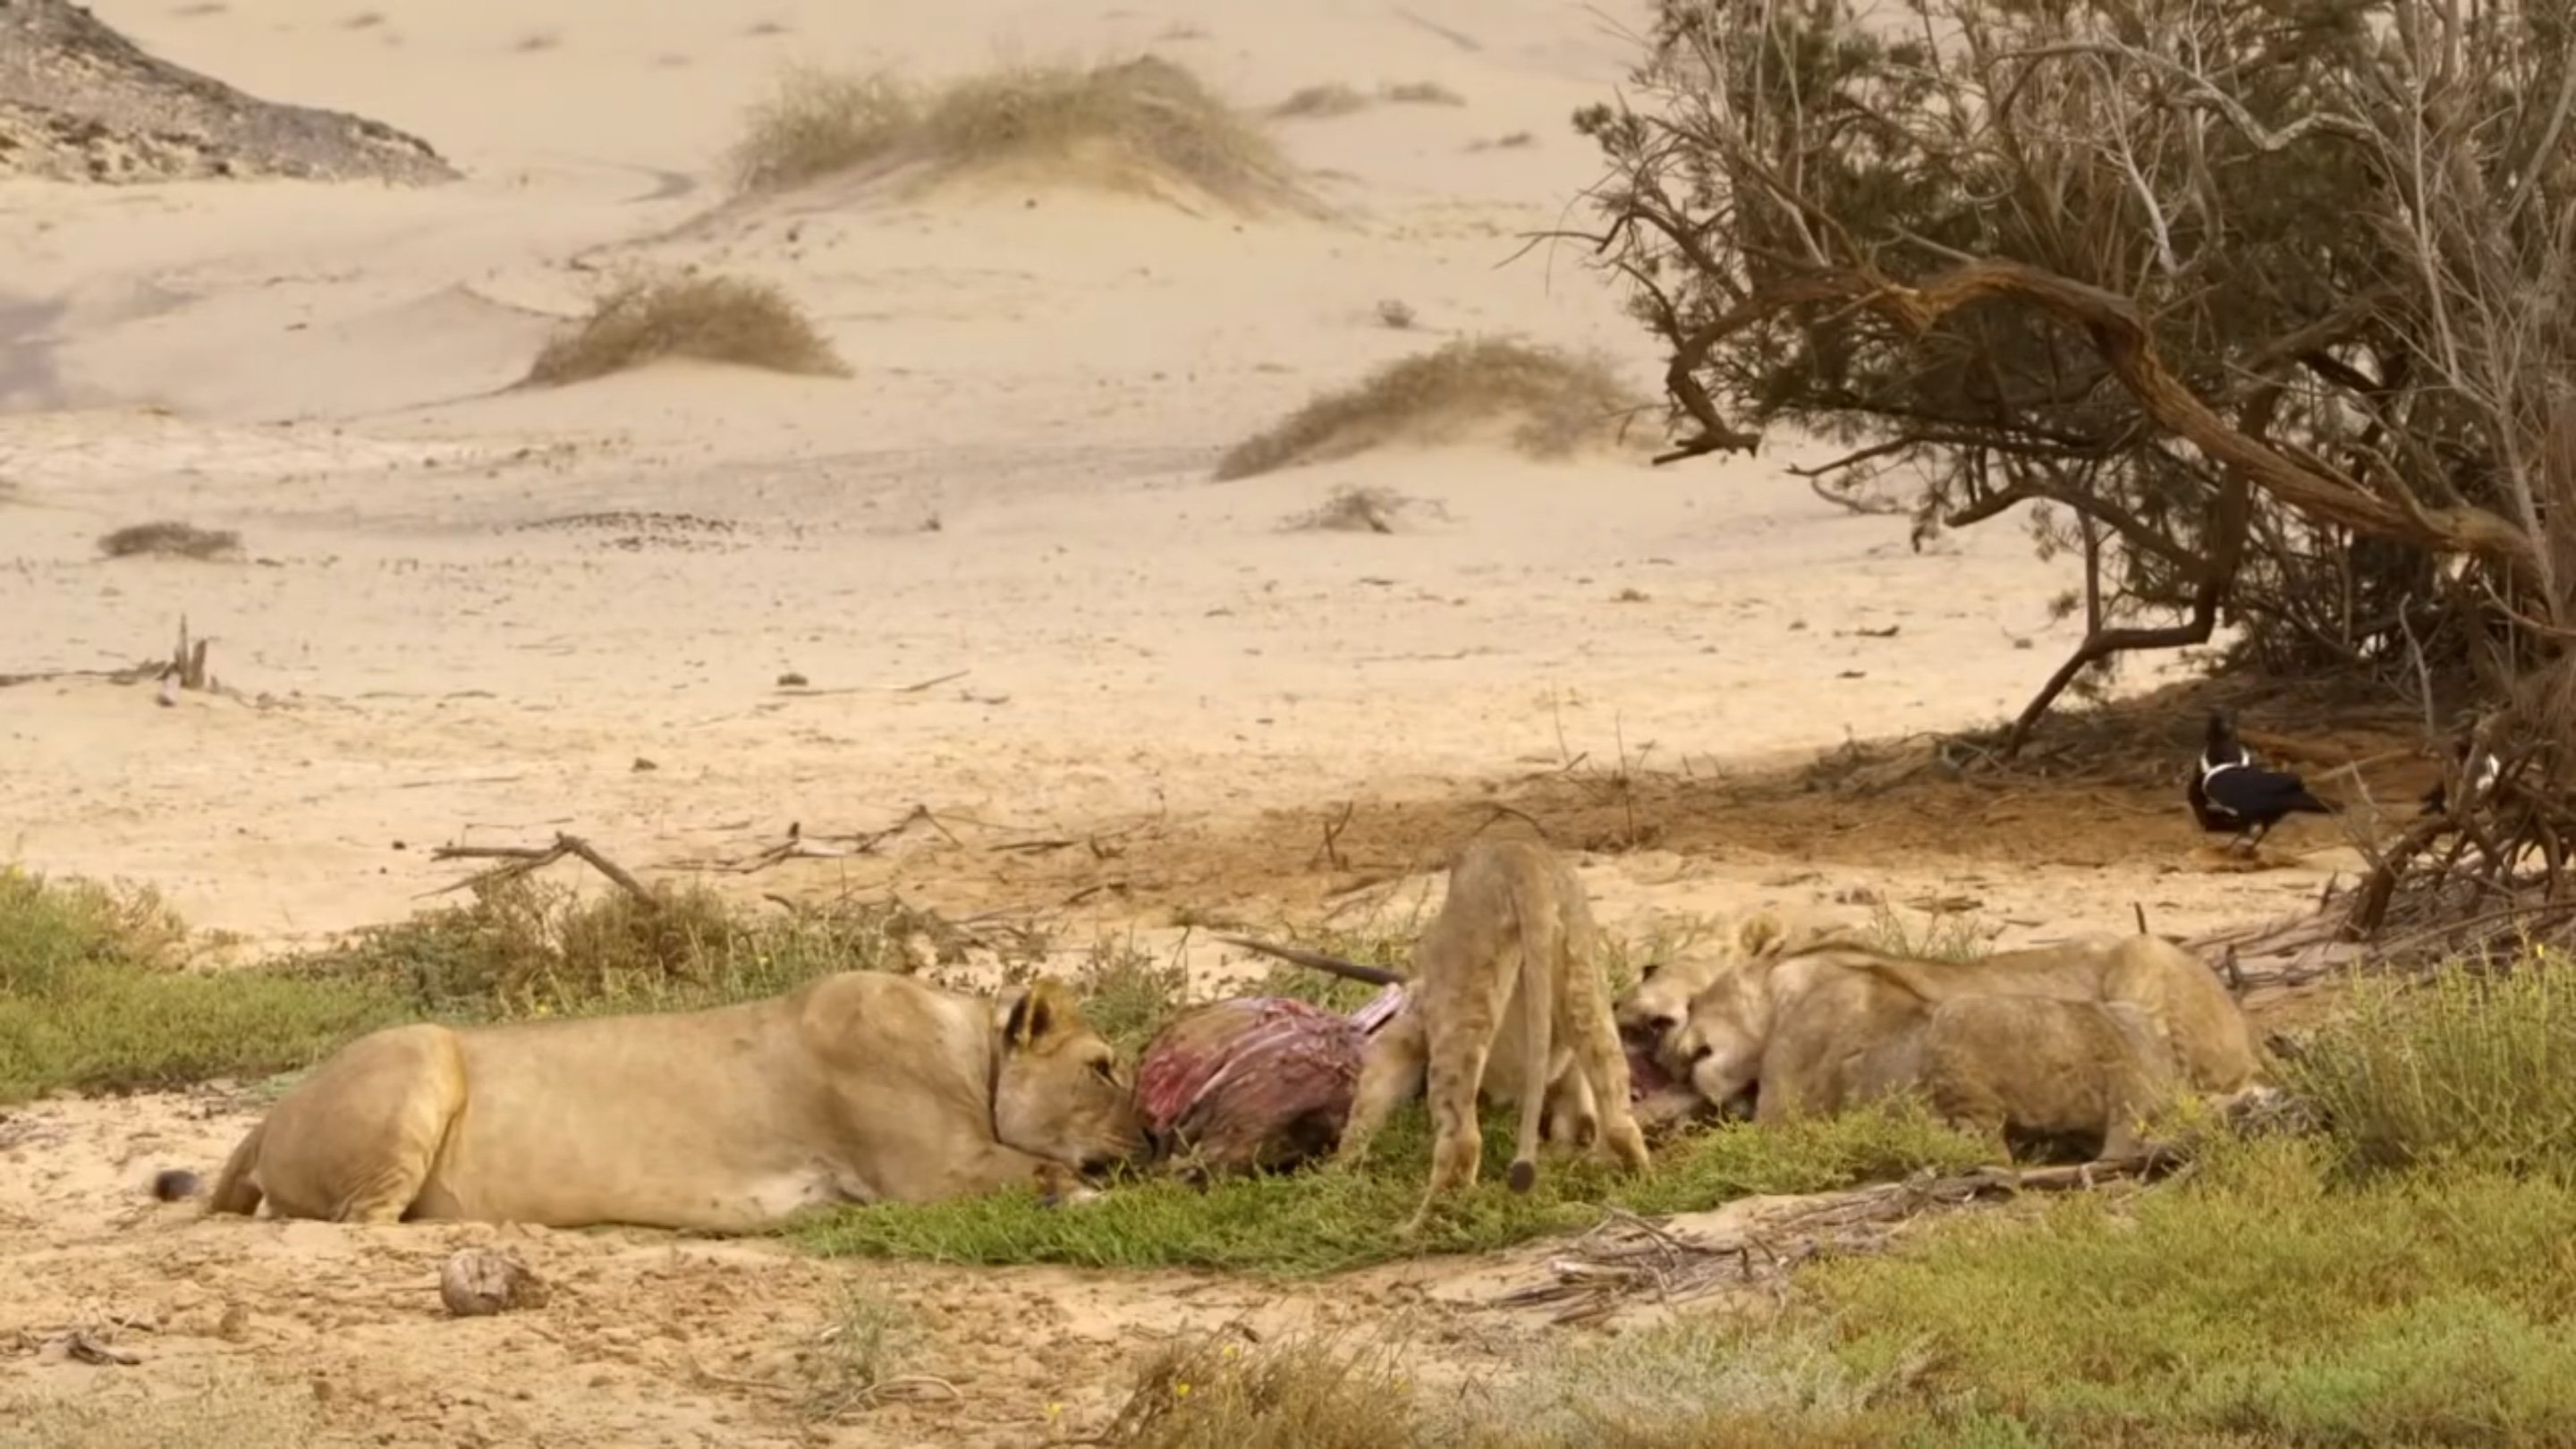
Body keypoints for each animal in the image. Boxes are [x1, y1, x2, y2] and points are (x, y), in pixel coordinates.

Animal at [170, 971, 1150, 1232]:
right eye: (1104, 1067)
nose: (1152, 1135)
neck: (966, 1049)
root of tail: (266, 1114)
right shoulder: (934, 1173)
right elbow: (1042, 1172)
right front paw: (1092, 1192)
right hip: (419, 1053)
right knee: (360, 1225)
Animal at [1328, 838, 1652, 1231]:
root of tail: (1520, 854)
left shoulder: (1402, 1037)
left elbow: (1367, 1104)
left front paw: (1336, 1173)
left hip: (1464, 998)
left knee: (1462, 1141)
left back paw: (1417, 1228)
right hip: (1583, 983)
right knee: (1620, 1120)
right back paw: (1640, 1185)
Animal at [1672, 948, 2184, 1161]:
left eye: (1694, 1003)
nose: (1670, 1052)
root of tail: (2133, 1089)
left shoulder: (1781, 1113)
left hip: (1958, 1016)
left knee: (1990, 1149)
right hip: (2129, 1014)